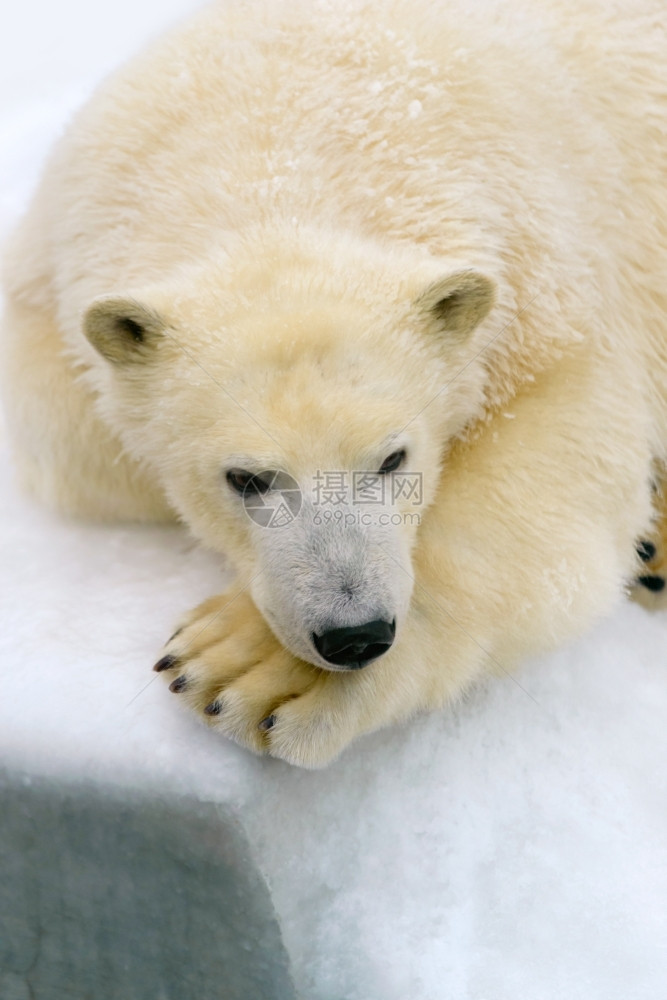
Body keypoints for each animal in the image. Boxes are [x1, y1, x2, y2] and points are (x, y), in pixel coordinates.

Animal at [1, 0, 667, 764]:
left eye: (393, 458)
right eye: (246, 478)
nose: (354, 636)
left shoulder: (547, 290)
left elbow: (558, 470)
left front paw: (248, 668)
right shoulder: (50, 302)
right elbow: (81, 450)